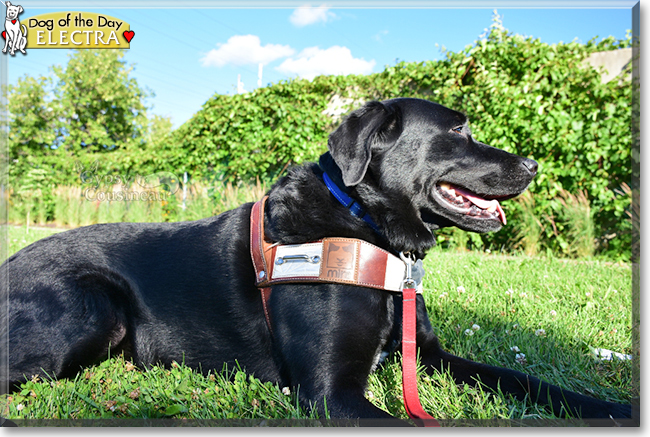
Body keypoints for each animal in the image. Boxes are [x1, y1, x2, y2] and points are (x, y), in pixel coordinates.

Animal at [0, 98, 628, 422]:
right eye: (459, 130)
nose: (534, 164)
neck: (366, 228)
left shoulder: (430, 357)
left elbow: (524, 379)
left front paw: (607, 407)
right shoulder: (329, 392)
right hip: (92, 309)